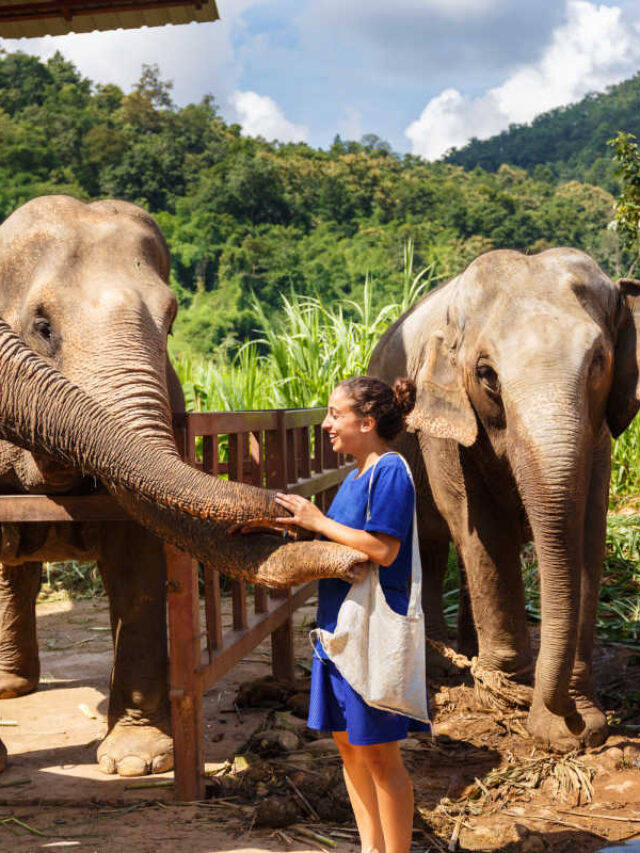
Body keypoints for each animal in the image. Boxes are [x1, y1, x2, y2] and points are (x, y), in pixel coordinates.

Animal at [0, 195, 366, 777]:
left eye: (170, 322)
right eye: (42, 326)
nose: (286, 505)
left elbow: (141, 565)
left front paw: (137, 763)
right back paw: (12, 688)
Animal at [369, 247, 640, 752]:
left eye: (598, 360)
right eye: (486, 374)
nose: (572, 724)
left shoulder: (598, 436)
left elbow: (588, 534)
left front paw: (578, 718)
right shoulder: (442, 427)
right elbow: (480, 528)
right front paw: (509, 700)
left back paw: (468, 654)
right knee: (432, 543)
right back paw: (441, 665)